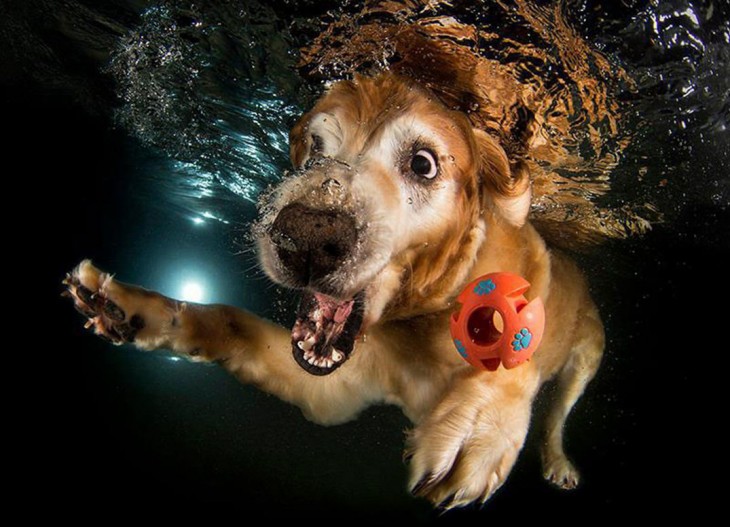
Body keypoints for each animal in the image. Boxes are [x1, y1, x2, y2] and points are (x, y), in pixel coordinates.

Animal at [64, 68, 604, 510]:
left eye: (424, 164)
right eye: (316, 147)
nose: (303, 238)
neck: (422, 319)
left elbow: (514, 355)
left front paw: (477, 428)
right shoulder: (337, 389)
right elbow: (228, 320)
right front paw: (135, 308)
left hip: (588, 356)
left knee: (557, 415)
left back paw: (557, 463)